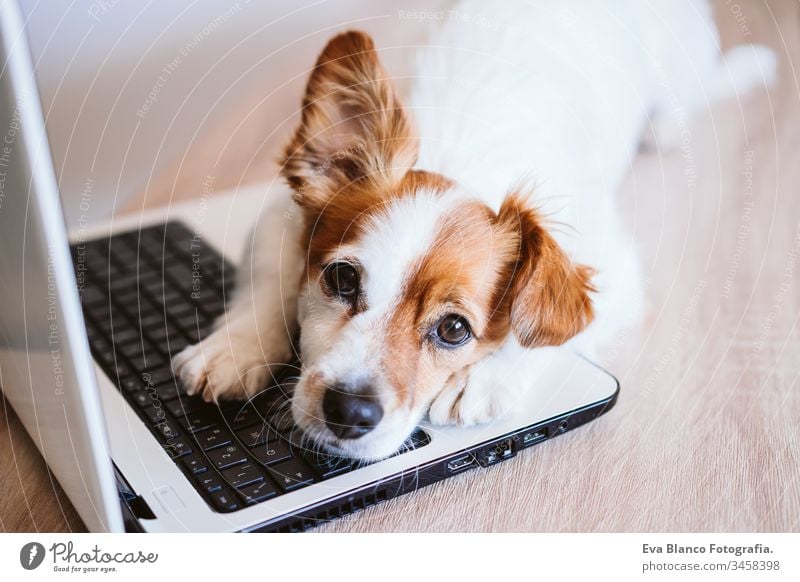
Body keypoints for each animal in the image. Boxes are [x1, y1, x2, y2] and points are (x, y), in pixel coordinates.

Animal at [172, 0, 772, 460]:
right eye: (341, 280)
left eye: (454, 329)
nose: (349, 411)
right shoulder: (278, 215)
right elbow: (271, 280)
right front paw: (235, 348)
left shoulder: (617, 275)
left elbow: (545, 330)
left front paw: (485, 379)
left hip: (681, 66)